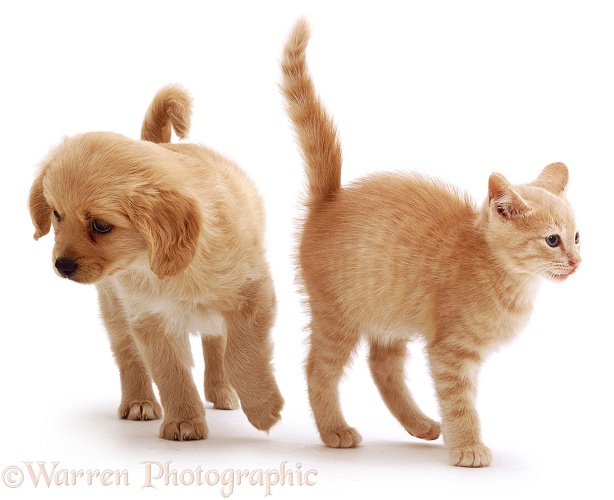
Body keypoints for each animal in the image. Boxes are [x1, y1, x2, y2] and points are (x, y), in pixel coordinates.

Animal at [282, 17, 584, 466]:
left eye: (577, 236)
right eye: (551, 240)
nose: (578, 260)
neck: (501, 274)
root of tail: (330, 199)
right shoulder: (451, 350)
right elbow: (459, 401)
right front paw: (468, 447)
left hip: (389, 306)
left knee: (382, 365)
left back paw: (419, 424)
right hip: (338, 313)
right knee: (318, 367)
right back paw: (334, 430)